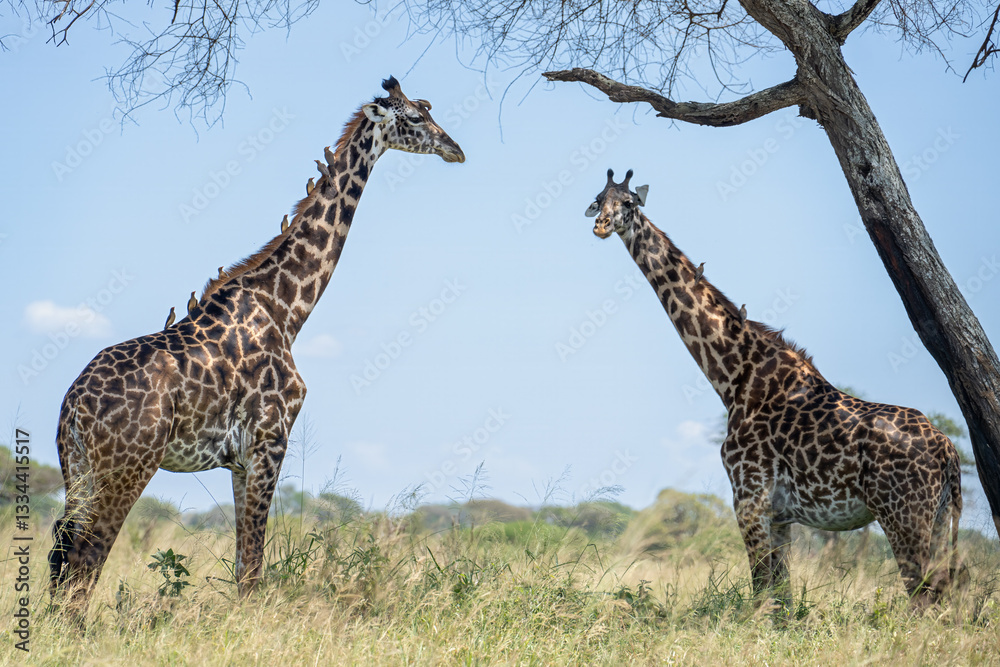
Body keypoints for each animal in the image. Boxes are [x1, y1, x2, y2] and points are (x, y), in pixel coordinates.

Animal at [48, 76, 465, 615]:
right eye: (415, 118)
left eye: (430, 111)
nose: (455, 149)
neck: (287, 309)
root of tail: (74, 406)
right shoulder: (271, 440)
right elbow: (254, 564)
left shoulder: (239, 459)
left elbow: (245, 563)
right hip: (128, 465)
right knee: (87, 556)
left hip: (77, 467)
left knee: (61, 552)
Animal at [586, 169, 963, 607]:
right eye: (598, 199)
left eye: (629, 203)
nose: (600, 225)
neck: (735, 376)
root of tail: (948, 450)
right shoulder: (780, 515)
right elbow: (781, 597)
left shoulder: (749, 498)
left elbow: (761, 591)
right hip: (938, 517)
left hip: (904, 516)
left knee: (923, 598)